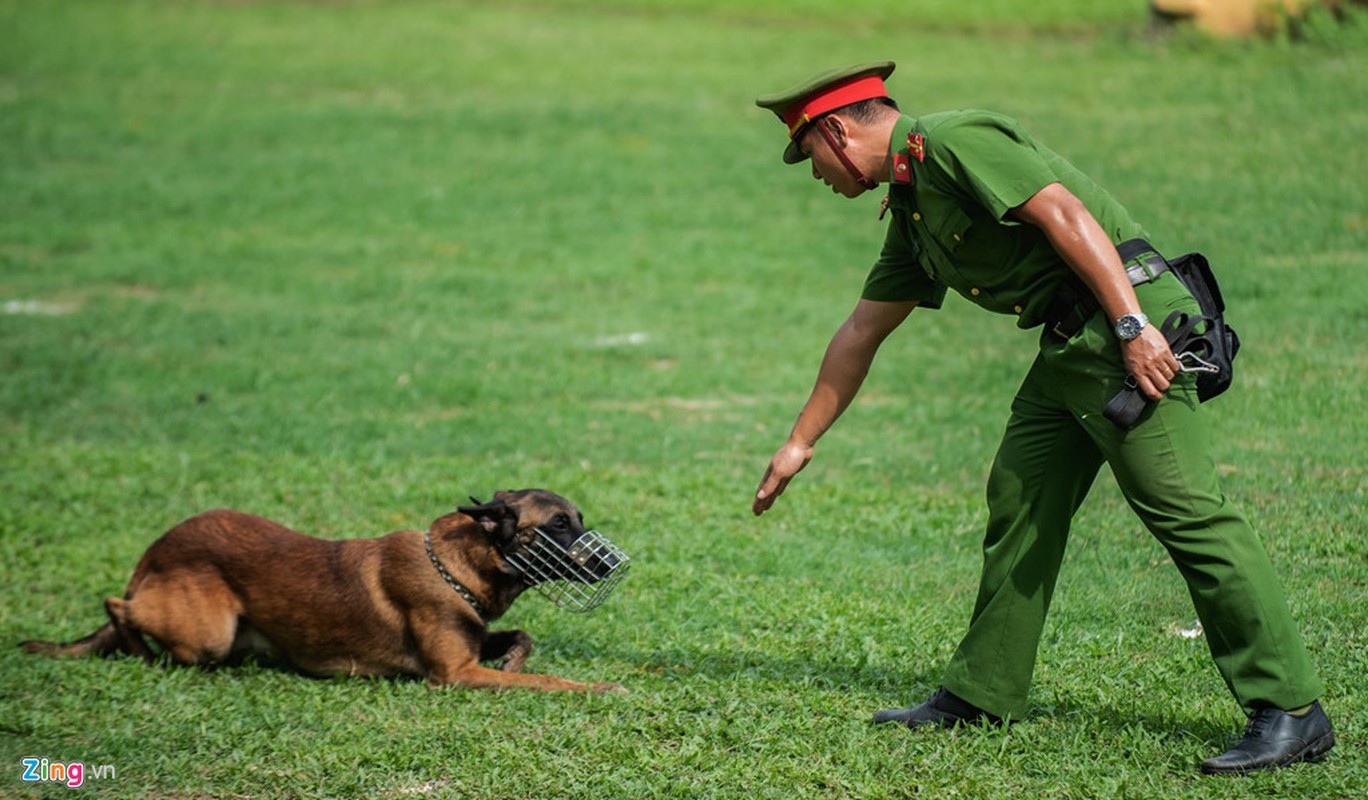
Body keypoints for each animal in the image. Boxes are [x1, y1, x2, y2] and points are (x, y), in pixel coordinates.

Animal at [21, 489, 626, 689]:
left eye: (578, 519)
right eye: (559, 525)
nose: (613, 564)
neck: (453, 565)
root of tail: (156, 548)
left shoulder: (473, 642)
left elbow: (521, 639)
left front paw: (514, 659)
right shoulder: (455, 675)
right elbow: (551, 682)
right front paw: (599, 688)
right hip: (207, 632)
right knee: (116, 606)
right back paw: (141, 653)